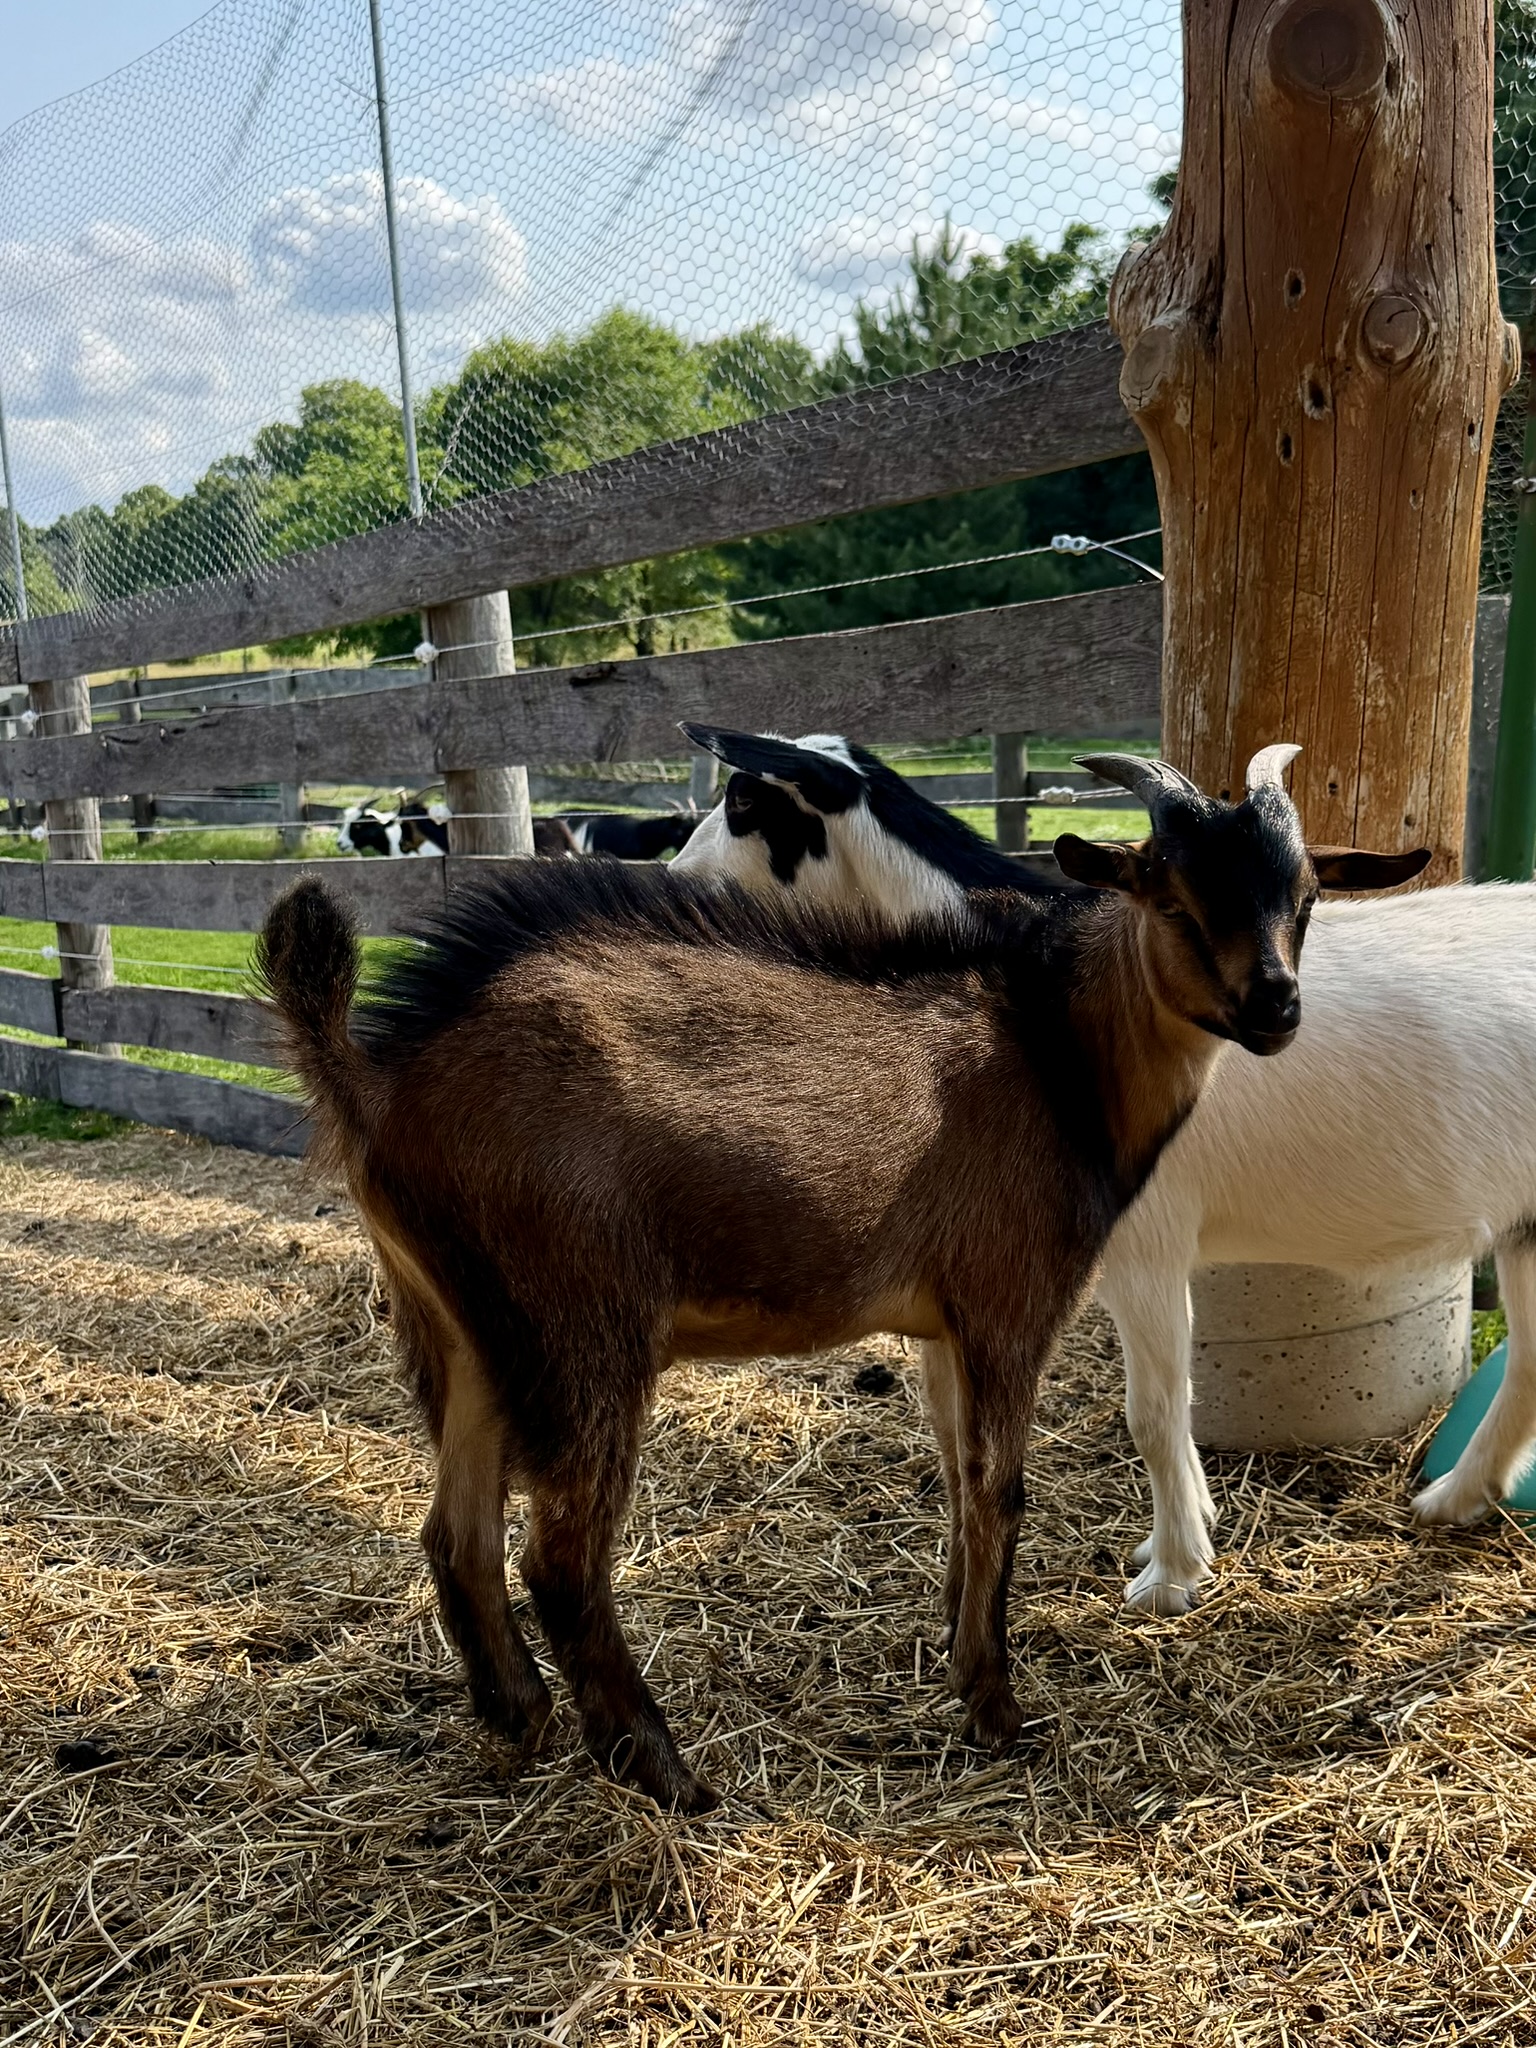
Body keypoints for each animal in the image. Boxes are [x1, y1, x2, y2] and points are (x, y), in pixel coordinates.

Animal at [257, 749, 1320, 1811]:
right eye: (1171, 899)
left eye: (1304, 896)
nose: (1277, 1006)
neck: (1054, 1053)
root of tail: (379, 1083)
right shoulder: (1010, 1298)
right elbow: (1001, 1491)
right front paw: (994, 1709)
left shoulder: (943, 1324)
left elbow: (956, 1479)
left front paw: (956, 1649)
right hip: (579, 1321)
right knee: (558, 1557)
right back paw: (663, 1768)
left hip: (464, 1328)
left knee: (457, 1534)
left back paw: (520, 1719)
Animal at [680, 726, 1454, 1618]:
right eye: (1174, 903)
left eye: (743, 798)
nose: (677, 876)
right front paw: (1190, 1526)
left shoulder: (1141, 1244)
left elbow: (1154, 1411)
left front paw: (1174, 1572)